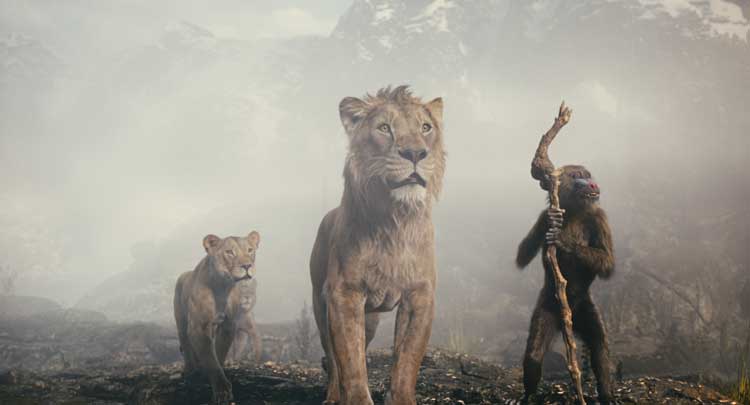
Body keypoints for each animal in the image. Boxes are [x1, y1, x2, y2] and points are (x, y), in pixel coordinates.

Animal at [174, 231, 260, 405]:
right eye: (230, 252)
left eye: (249, 250)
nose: (247, 266)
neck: (222, 287)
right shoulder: (198, 327)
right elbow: (210, 358)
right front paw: (222, 392)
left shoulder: (228, 325)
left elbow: (218, 353)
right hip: (181, 322)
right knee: (186, 345)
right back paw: (190, 371)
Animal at [310, 85, 445, 405]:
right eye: (384, 128)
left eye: (426, 127)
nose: (415, 153)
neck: (395, 221)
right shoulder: (344, 294)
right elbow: (351, 361)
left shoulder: (420, 295)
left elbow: (407, 359)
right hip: (321, 304)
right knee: (333, 358)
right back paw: (333, 396)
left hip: (370, 318)